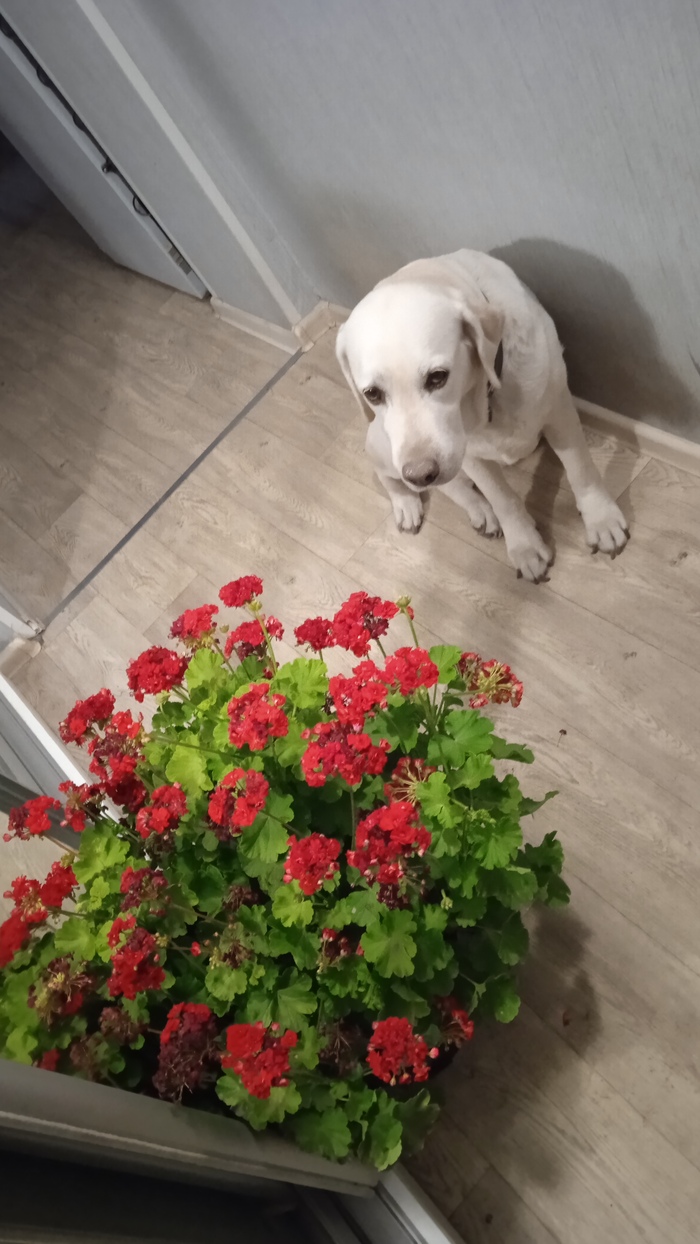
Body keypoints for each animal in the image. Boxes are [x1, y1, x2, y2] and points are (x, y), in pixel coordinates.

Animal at [336, 249, 629, 582]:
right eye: (372, 393)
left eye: (438, 377)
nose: (420, 473)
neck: (486, 395)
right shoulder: (469, 453)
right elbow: (502, 497)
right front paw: (524, 545)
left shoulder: (558, 409)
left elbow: (581, 470)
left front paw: (601, 518)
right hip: (384, 443)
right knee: (395, 477)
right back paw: (417, 504)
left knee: (449, 484)